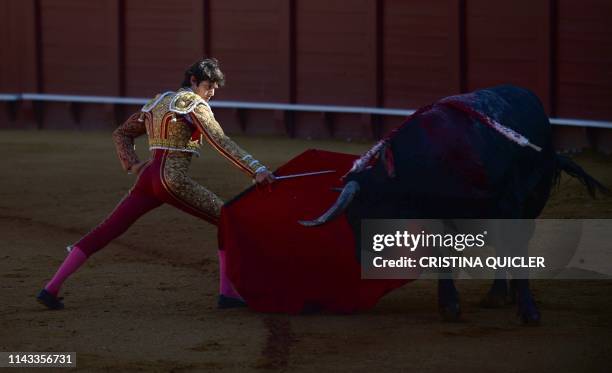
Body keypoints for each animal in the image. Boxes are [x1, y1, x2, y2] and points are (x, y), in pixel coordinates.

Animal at [300, 84, 608, 322]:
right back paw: (499, 296)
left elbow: (514, 249)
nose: (360, 259)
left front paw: (529, 312)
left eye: (357, 214)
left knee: (513, 243)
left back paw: (503, 296)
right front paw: (449, 306)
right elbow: (442, 252)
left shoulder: (509, 203)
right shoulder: (438, 213)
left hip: (534, 199)